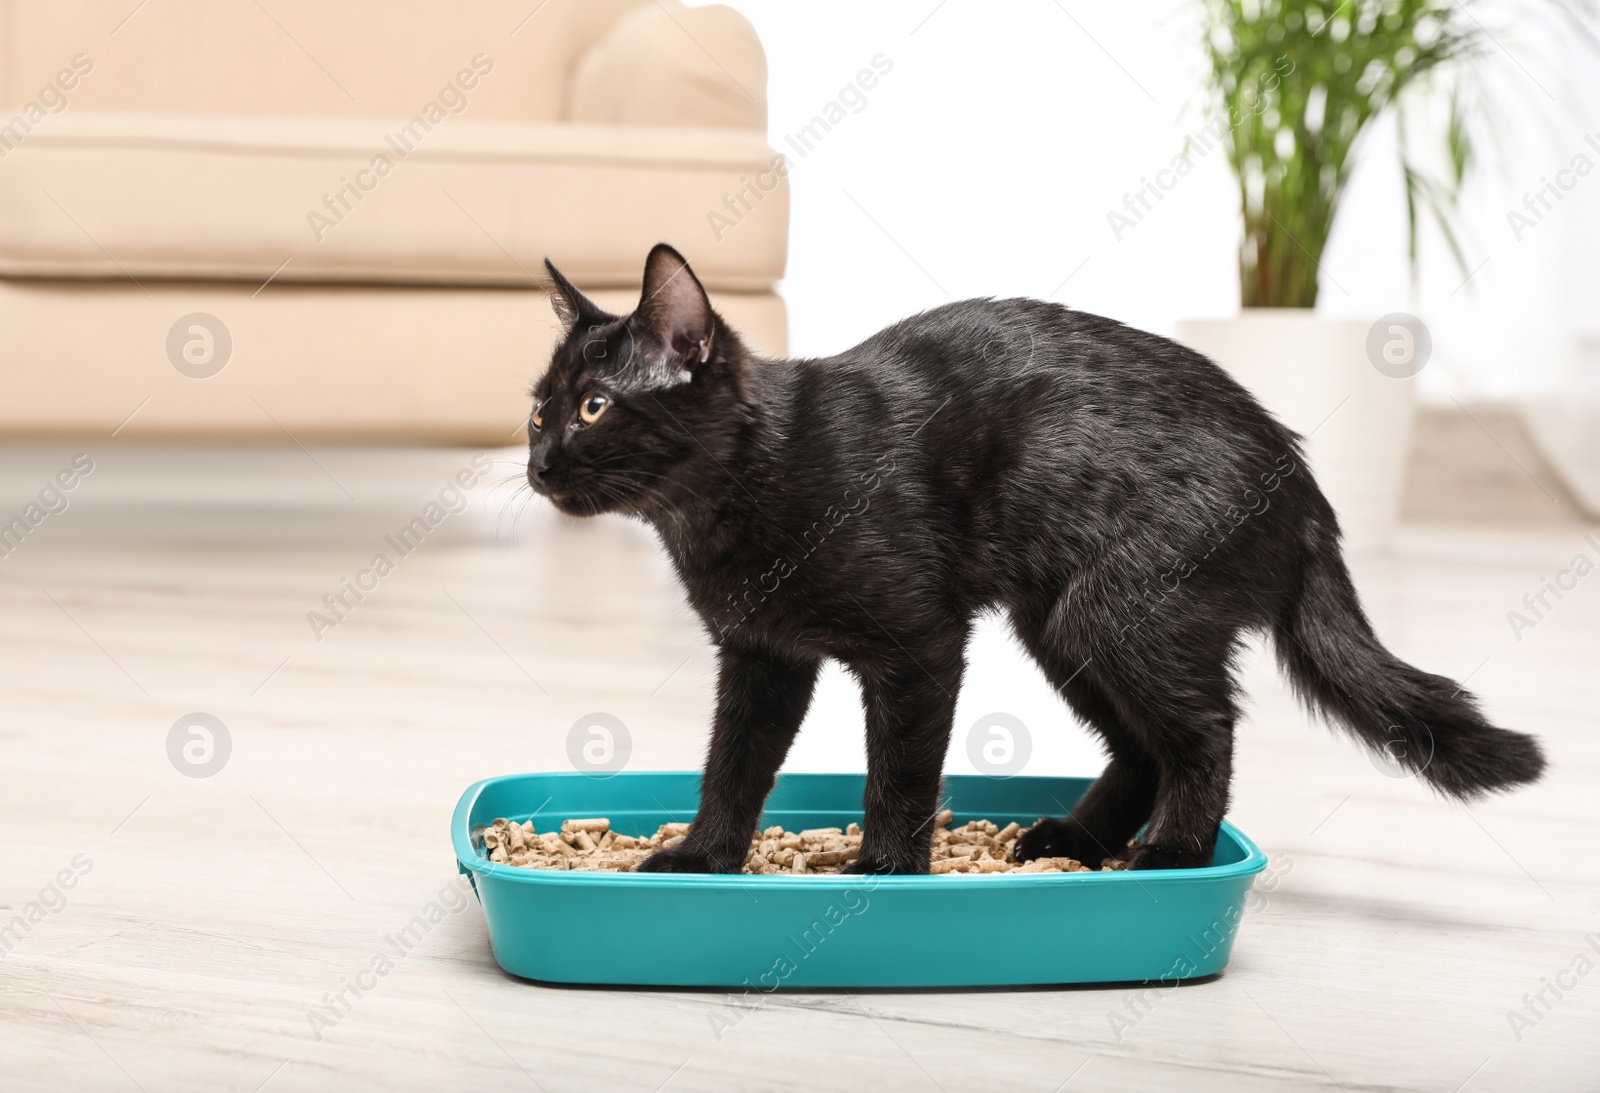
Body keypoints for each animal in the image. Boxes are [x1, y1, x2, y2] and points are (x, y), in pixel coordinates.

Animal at [531, 246, 1542, 870]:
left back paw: (1171, 853)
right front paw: (704, 857)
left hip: (1118, 612)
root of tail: (1300, 484)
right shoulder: (762, 656)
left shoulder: (919, 646)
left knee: (1204, 731)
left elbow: (900, 772)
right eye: (541, 408)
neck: (726, 500)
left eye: (594, 407)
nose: (537, 463)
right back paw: (1073, 842)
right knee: (1143, 747)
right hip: (1062, 625)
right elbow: (732, 764)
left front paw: (885, 871)